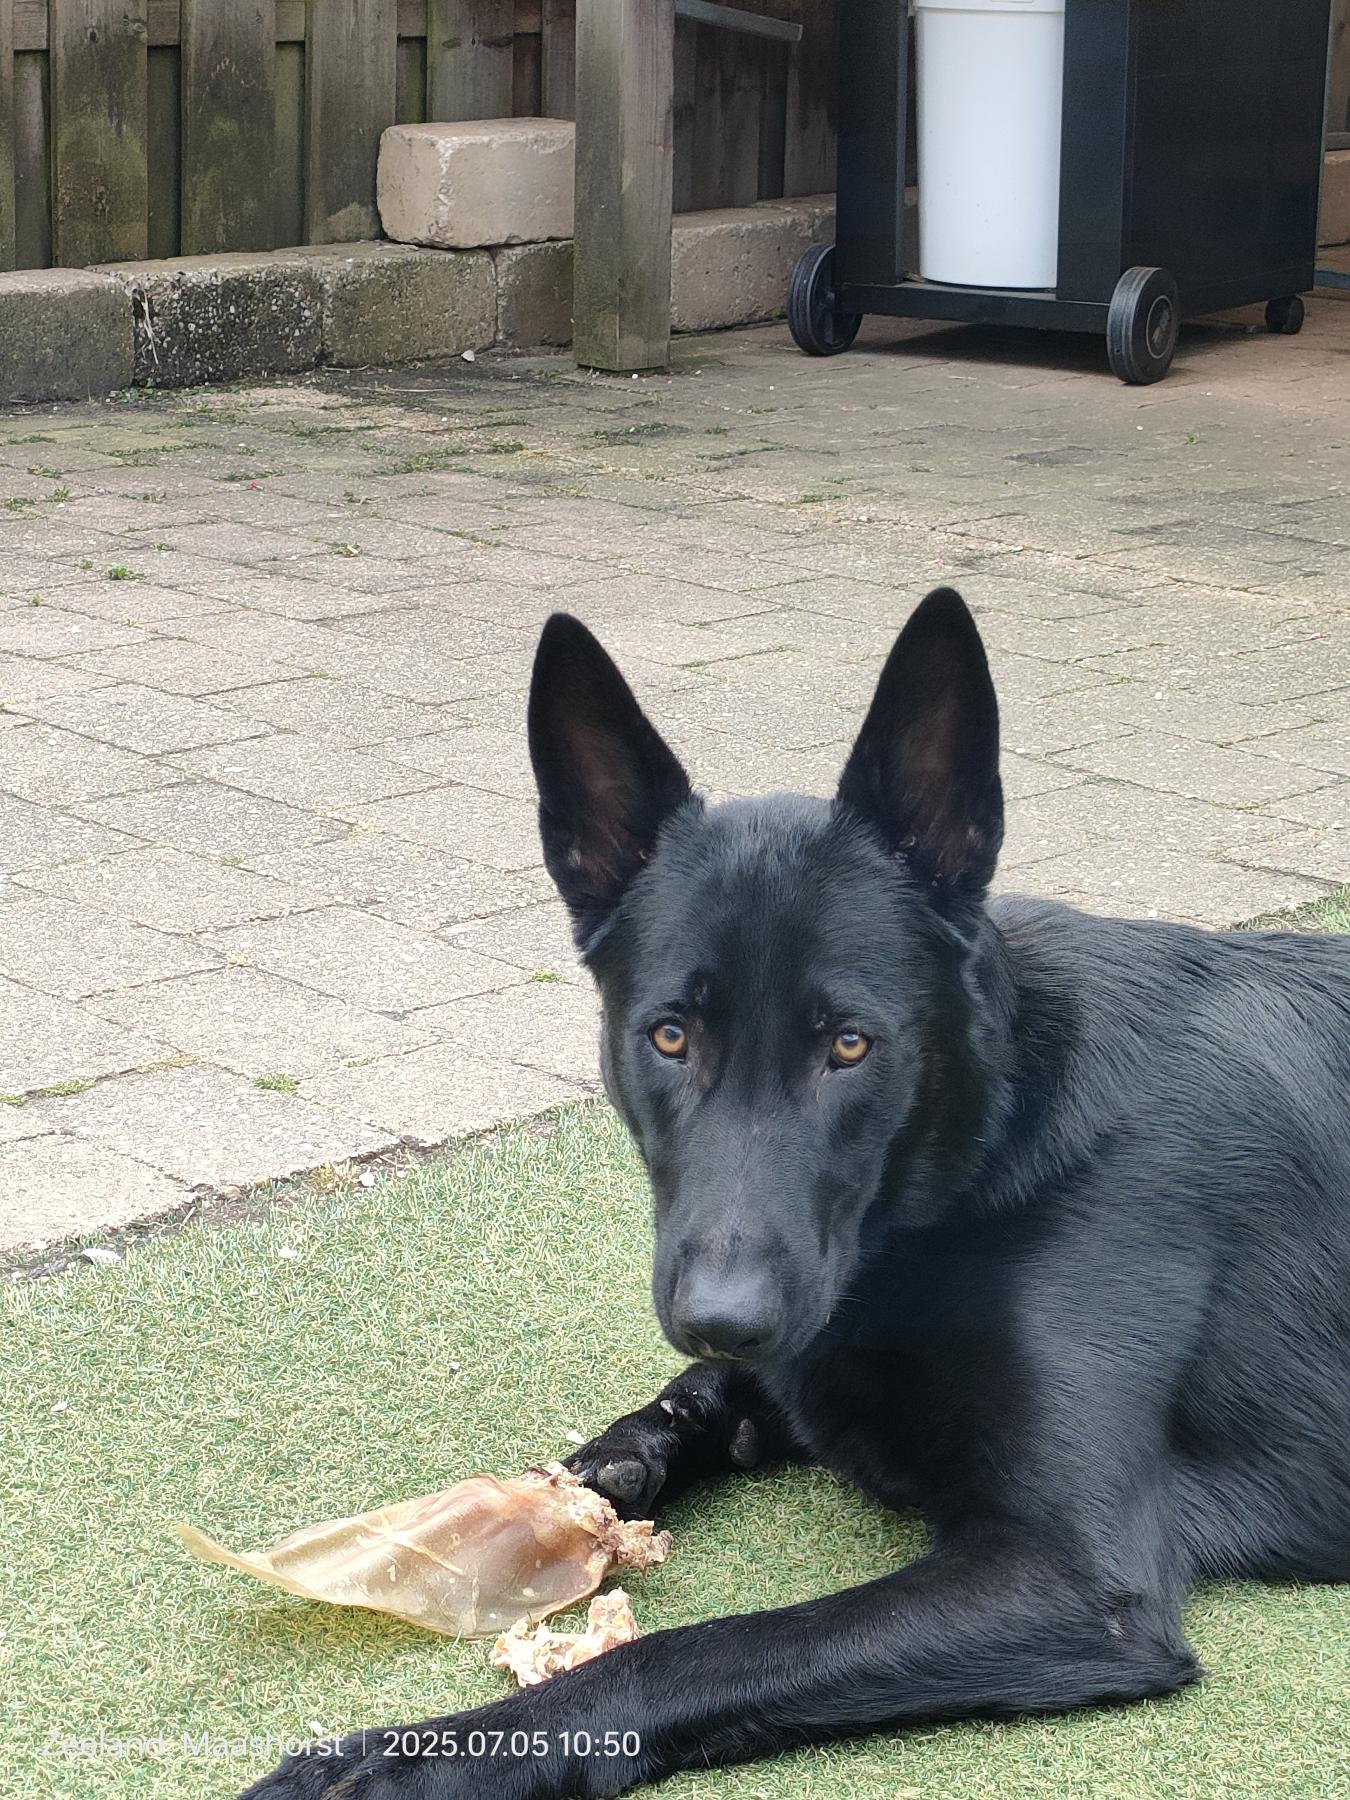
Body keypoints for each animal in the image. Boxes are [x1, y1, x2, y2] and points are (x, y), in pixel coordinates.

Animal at [245, 589, 1350, 1799]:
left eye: (851, 1045)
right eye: (670, 1037)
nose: (724, 1317)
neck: (986, 1154)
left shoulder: (1065, 1570)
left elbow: (708, 1648)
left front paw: (427, 1755)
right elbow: (700, 1404)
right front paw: (611, 1467)